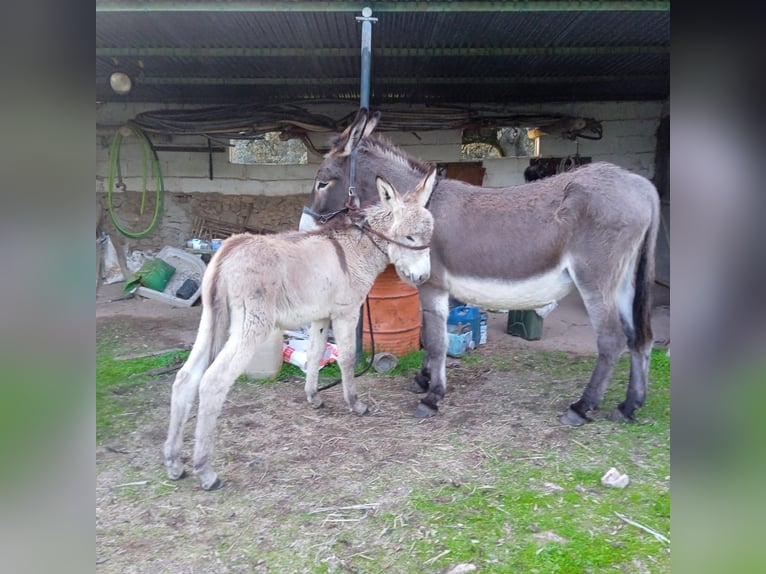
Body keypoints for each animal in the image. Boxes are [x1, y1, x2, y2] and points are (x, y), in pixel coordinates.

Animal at [164, 169, 436, 488]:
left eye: (428, 238)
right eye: (409, 237)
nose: (423, 277)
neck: (355, 249)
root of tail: (228, 251)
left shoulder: (320, 317)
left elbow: (316, 354)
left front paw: (314, 397)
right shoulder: (346, 312)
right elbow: (346, 358)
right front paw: (355, 405)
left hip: (210, 320)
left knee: (185, 378)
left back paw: (174, 463)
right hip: (250, 327)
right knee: (212, 382)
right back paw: (205, 470)